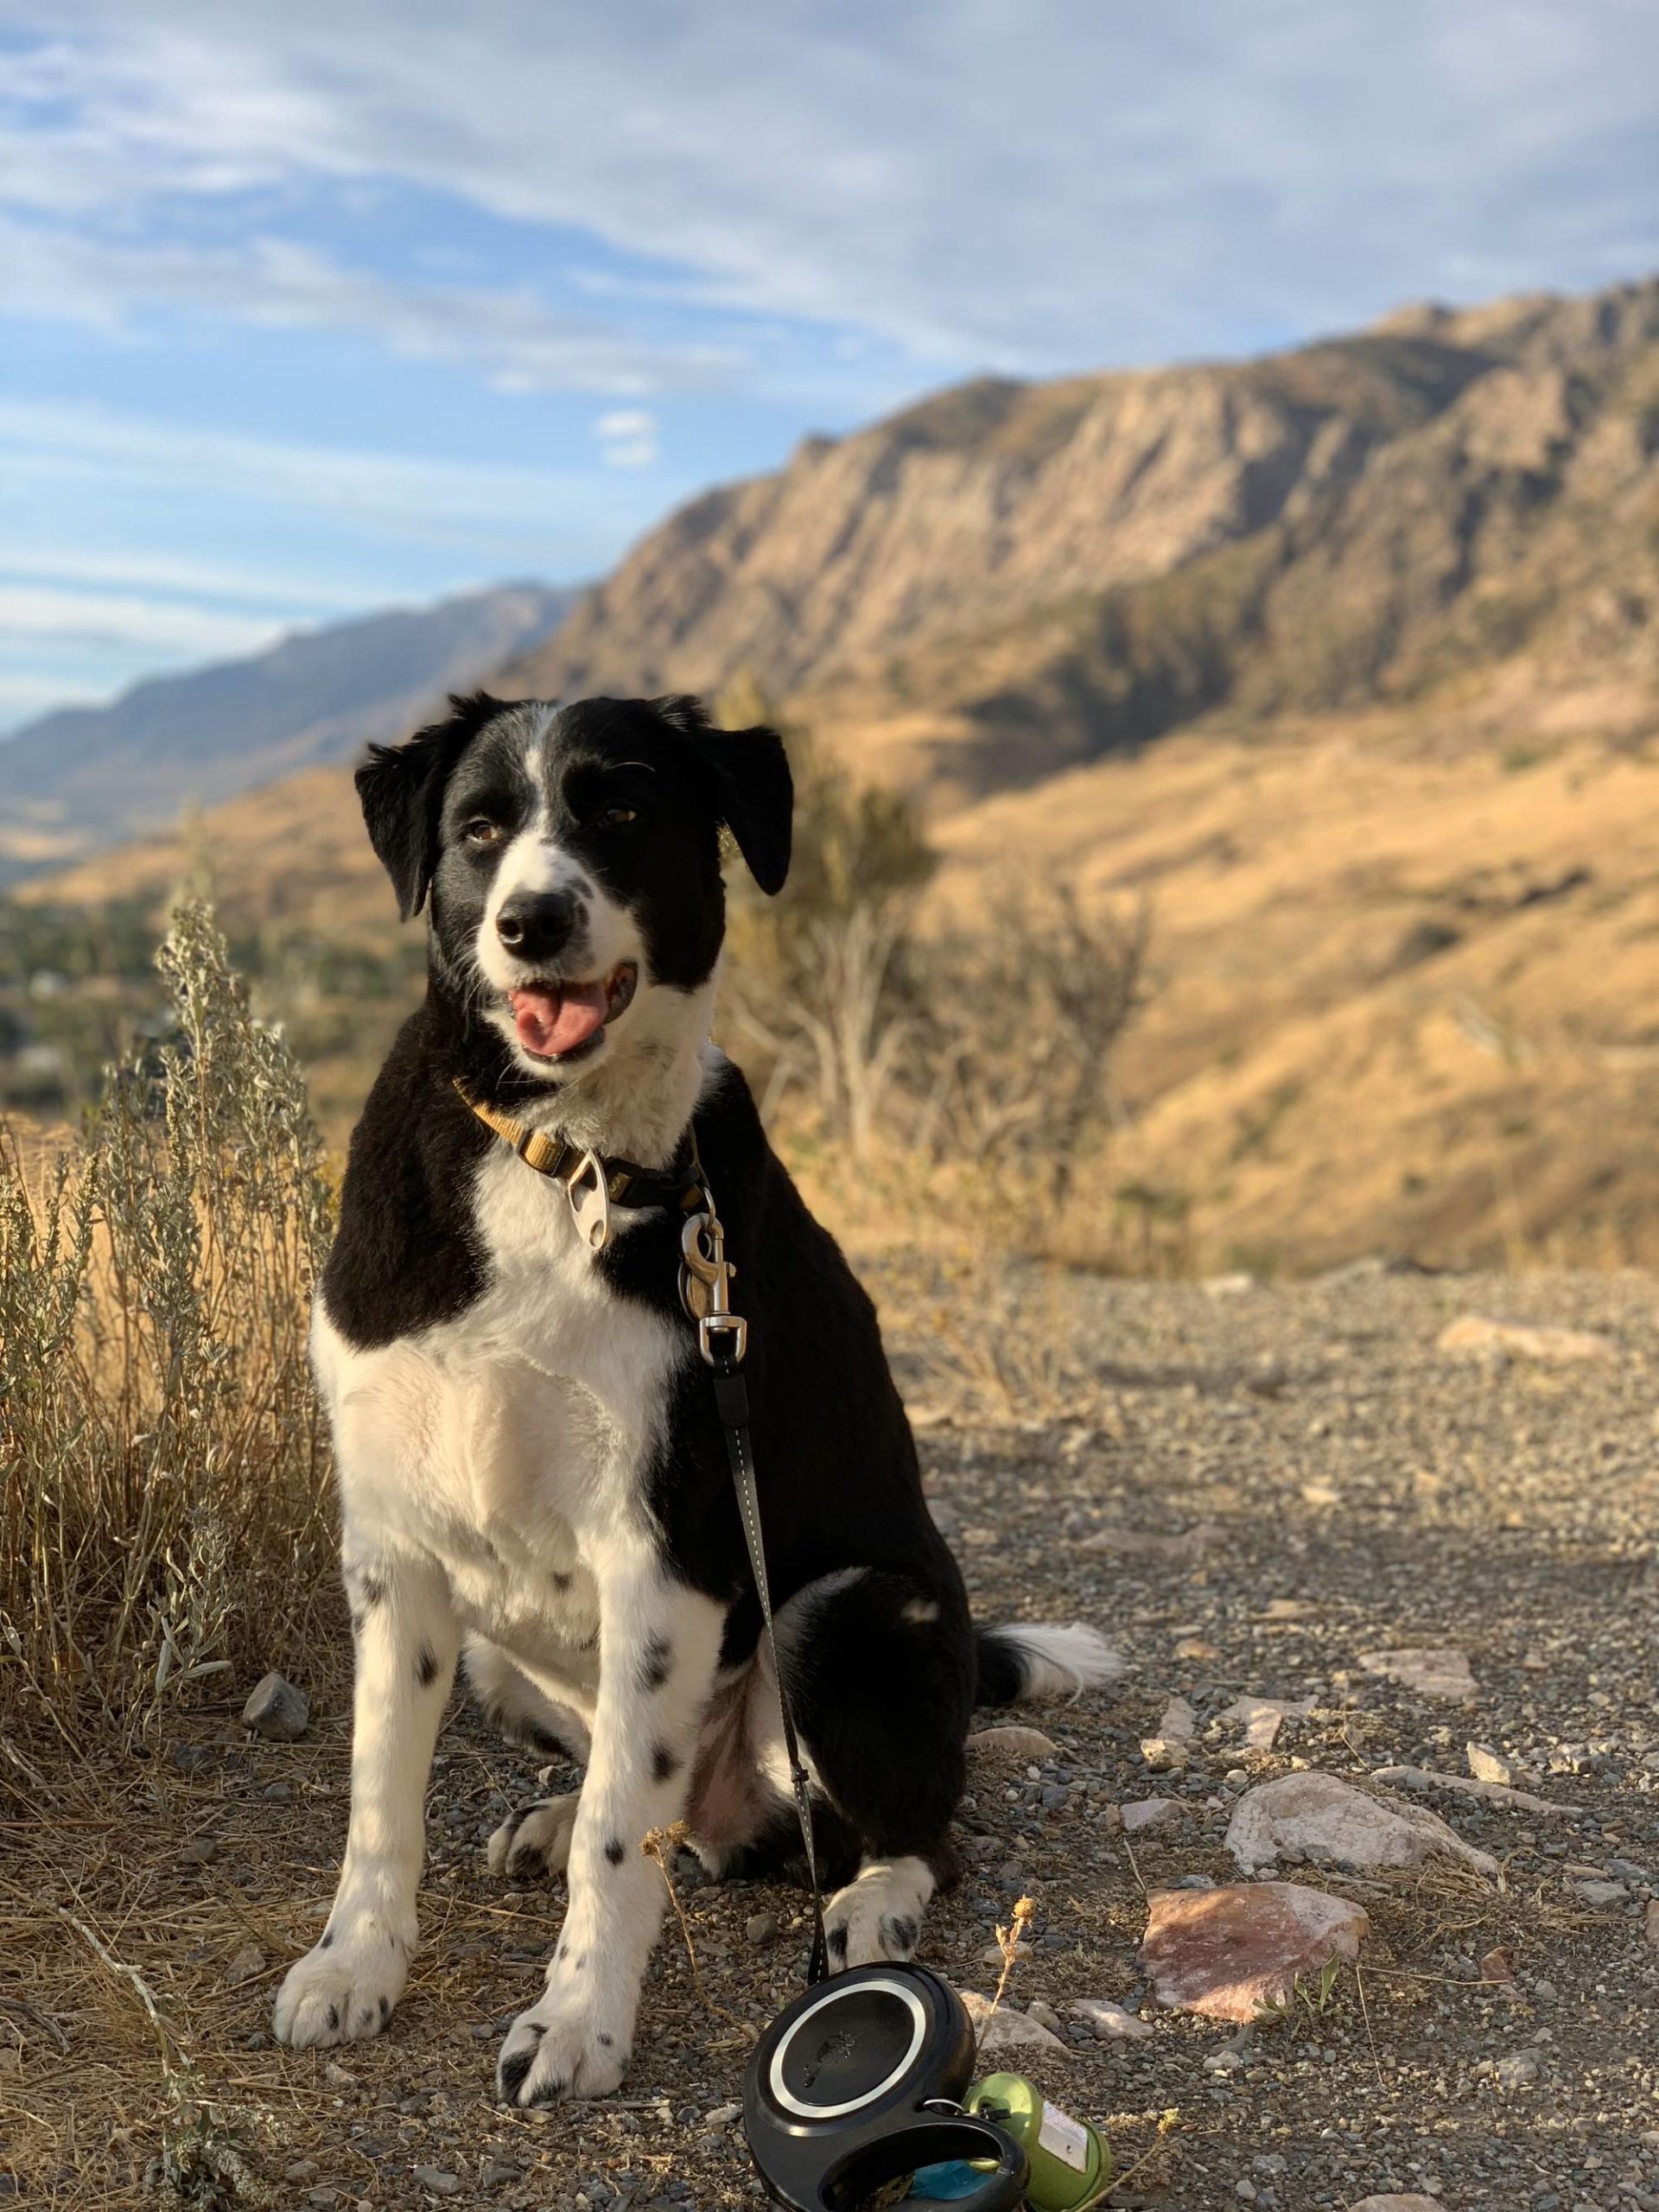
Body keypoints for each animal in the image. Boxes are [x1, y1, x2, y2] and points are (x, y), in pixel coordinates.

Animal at [276, 694, 1119, 2106]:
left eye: (622, 809)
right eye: (480, 829)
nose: (531, 923)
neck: (564, 1157)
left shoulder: (661, 1554)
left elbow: (622, 1846)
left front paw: (578, 2022)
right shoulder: (395, 1554)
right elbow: (380, 1800)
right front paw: (356, 1965)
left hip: (843, 1616)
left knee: (899, 1831)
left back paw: (874, 1898)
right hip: (510, 1658)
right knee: (656, 1798)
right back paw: (558, 1816)